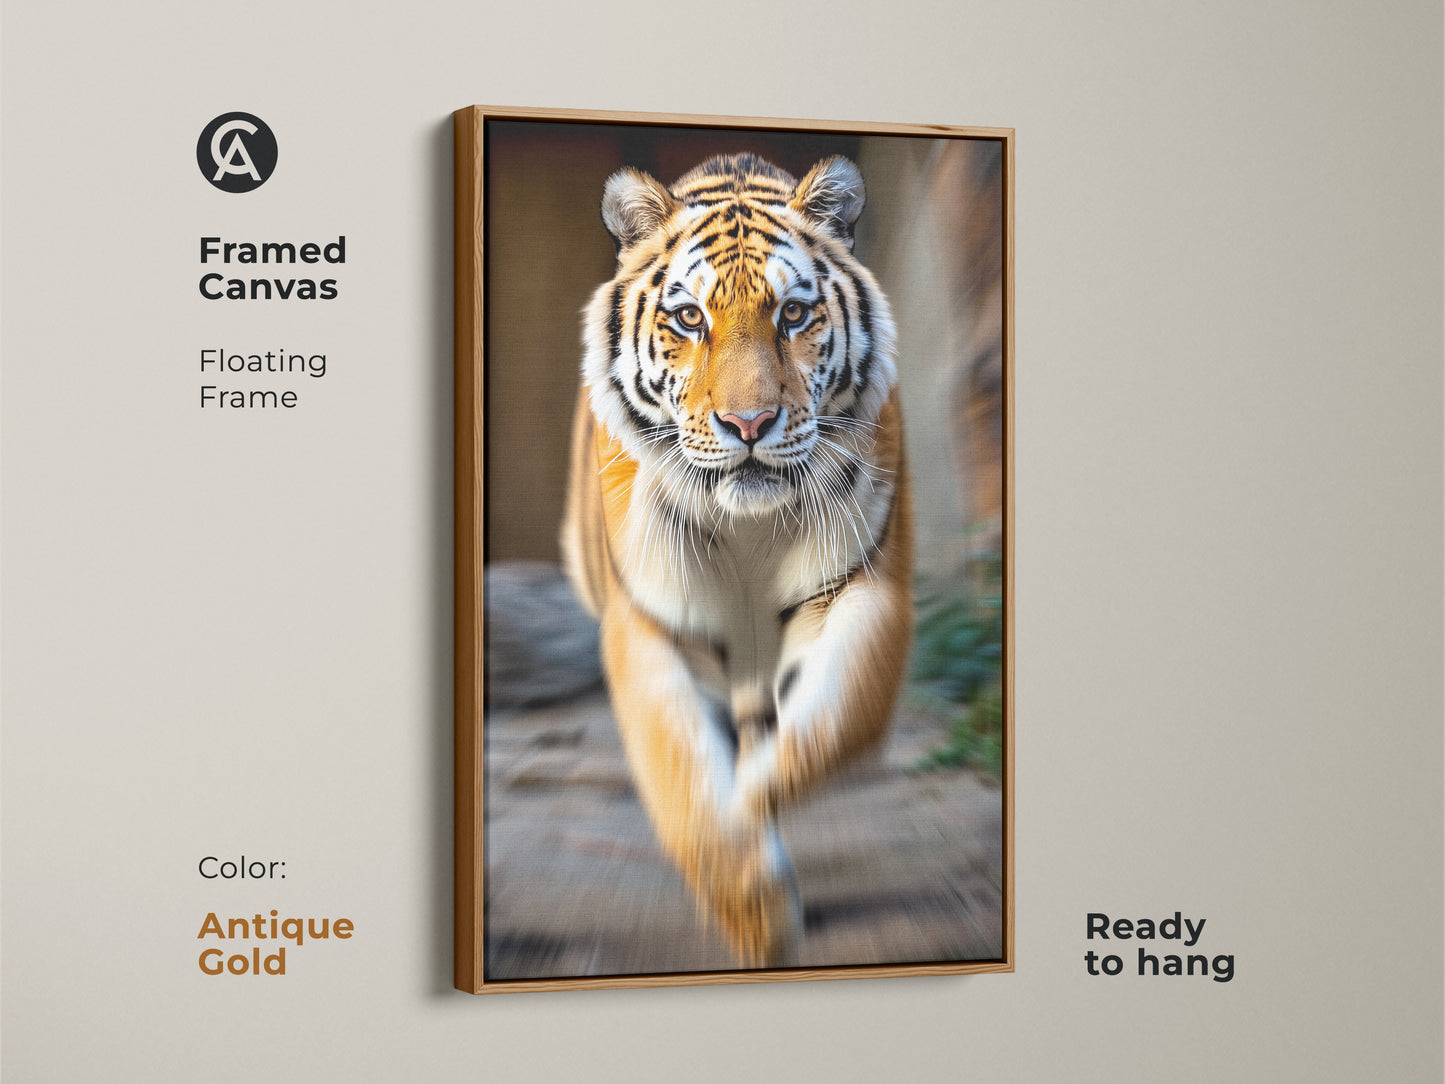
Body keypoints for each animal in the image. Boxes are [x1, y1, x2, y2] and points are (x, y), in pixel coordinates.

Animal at [560, 152, 913, 968]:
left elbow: (837, 720)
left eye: (794, 315)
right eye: (690, 318)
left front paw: (752, 799)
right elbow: (685, 780)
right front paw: (757, 914)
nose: (748, 423)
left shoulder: (863, 587)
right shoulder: (653, 623)